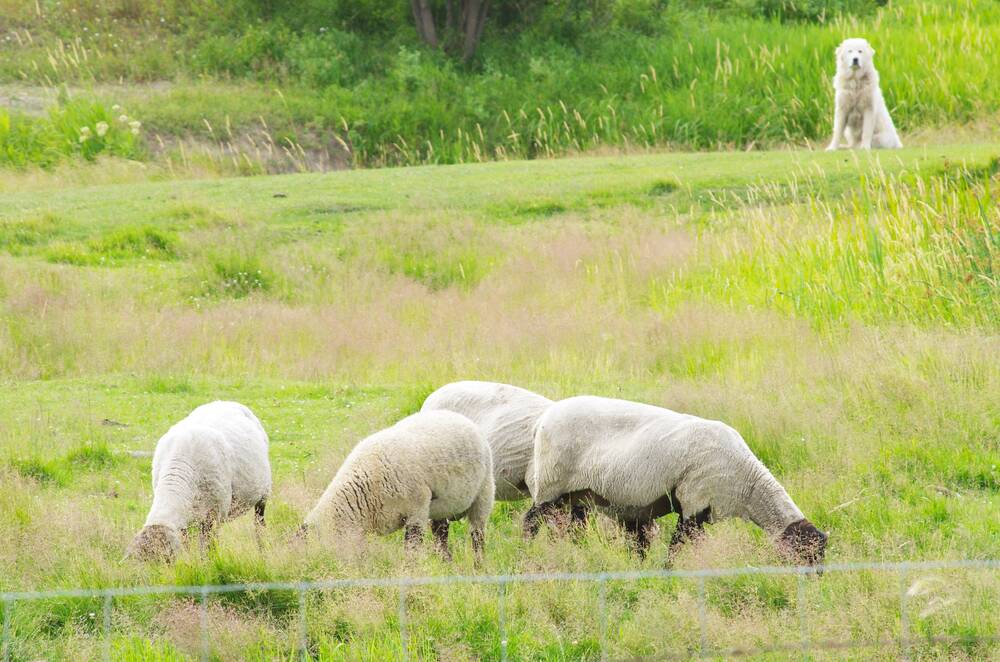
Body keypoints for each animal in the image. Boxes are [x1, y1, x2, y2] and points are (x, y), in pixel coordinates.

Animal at [125, 401, 271, 562]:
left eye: (166, 560)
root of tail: (225, 402)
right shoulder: (186, 520)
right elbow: (187, 545)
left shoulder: (213, 516)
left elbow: (208, 548)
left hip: (263, 495)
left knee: (259, 525)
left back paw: (263, 552)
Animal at [300, 410, 494, 562]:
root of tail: (458, 416)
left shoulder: (417, 509)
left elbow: (411, 549)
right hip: (443, 505)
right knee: (441, 534)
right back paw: (445, 563)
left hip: (484, 492)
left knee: (477, 536)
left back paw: (478, 565)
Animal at [525, 396, 827, 565]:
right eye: (807, 555)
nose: (814, 582)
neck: (748, 485)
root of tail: (544, 420)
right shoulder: (694, 503)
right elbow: (677, 548)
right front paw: (668, 573)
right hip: (551, 484)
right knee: (529, 521)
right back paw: (523, 552)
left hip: (579, 494)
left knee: (573, 529)